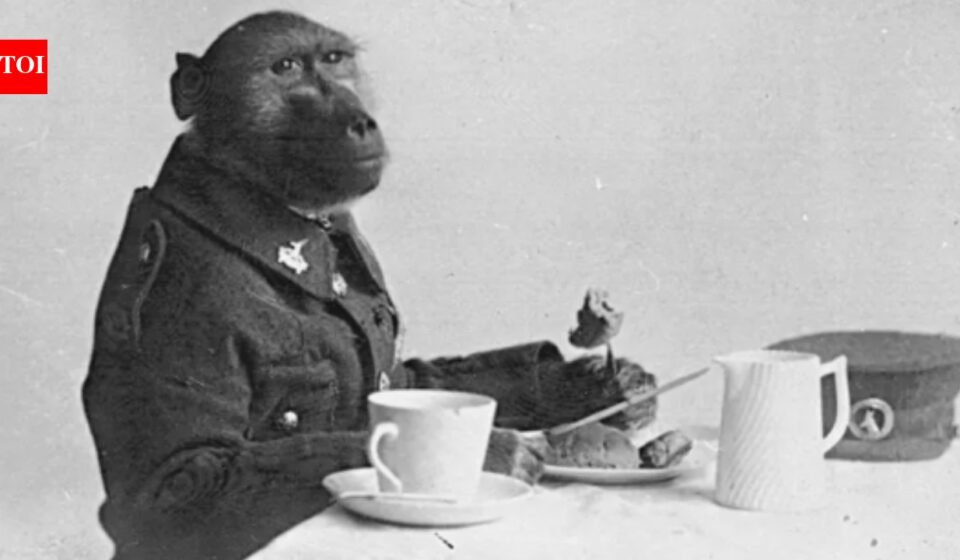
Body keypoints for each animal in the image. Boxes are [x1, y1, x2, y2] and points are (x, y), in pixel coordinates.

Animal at [82, 11, 658, 560]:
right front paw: (497, 451)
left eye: (335, 60)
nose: (359, 118)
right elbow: (183, 479)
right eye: (286, 68)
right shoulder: (175, 287)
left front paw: (599, 386)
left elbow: (410, 378)